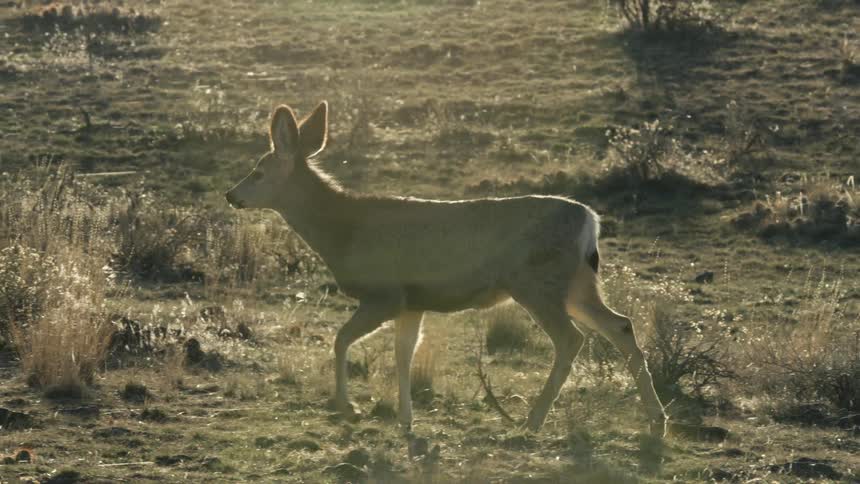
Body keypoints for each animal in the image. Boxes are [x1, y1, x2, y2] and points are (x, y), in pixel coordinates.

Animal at [225, 101, 668, 437]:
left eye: (258, 172)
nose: (231, 195)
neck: (343, 231)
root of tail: (589, 222)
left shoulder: (385, 292)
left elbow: (340, 339)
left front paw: (349, 408)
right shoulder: (412, 301)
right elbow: (403, 354)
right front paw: (405, 420)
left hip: (537, 282)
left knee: (571, 339)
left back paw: (533, 420)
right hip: (576, 285)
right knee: (620, 324)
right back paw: (656, 421)